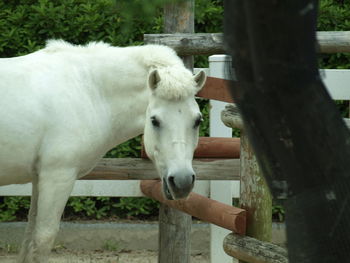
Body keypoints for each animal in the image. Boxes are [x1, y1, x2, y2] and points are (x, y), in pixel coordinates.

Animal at [0, 40, 205, 262]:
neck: (86, 87)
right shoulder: (57, 177)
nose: (182, 181)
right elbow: (42, 239)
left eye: (198, 120)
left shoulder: (39, 177)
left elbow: (29, 237)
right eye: (154, 120)